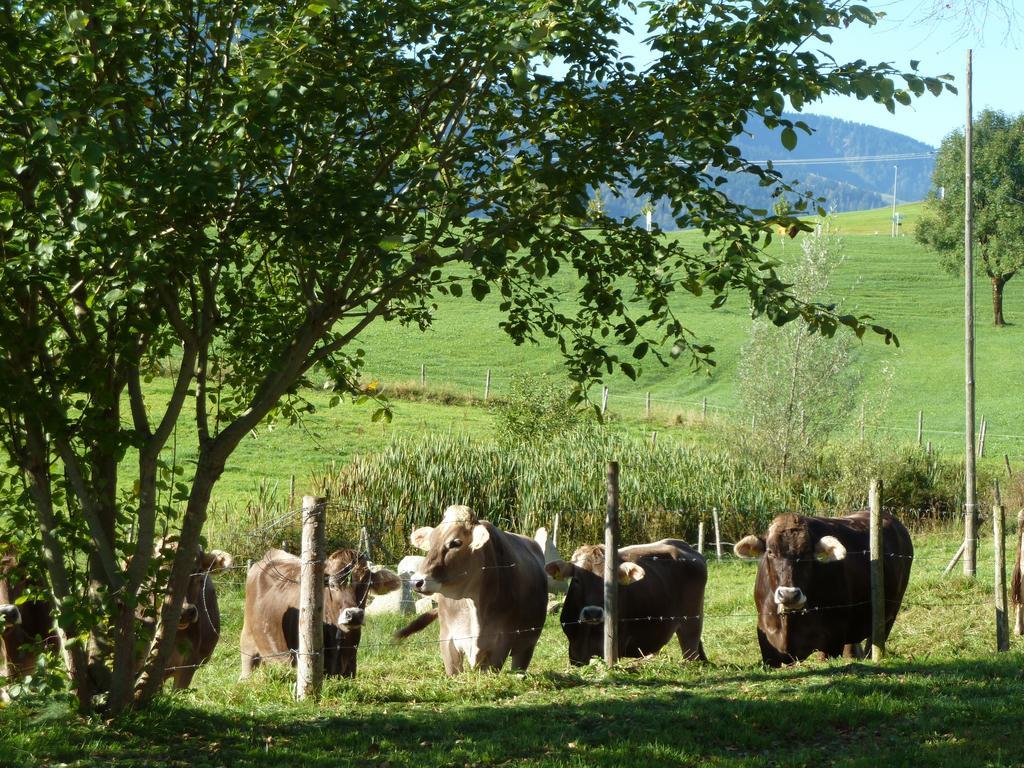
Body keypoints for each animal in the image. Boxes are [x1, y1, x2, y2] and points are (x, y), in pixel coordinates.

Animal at [548, 540, 708, 667]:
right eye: (576, 580)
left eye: (611, 582)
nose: (593, 613)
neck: (588, 633)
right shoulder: (575, 652)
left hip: (691, 624)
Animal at [737, 514, 913, 671]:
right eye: (770, 552)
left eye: (808, 553)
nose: (789, 595)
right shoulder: (768, 646)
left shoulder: (832, 640)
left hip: (890, 611)